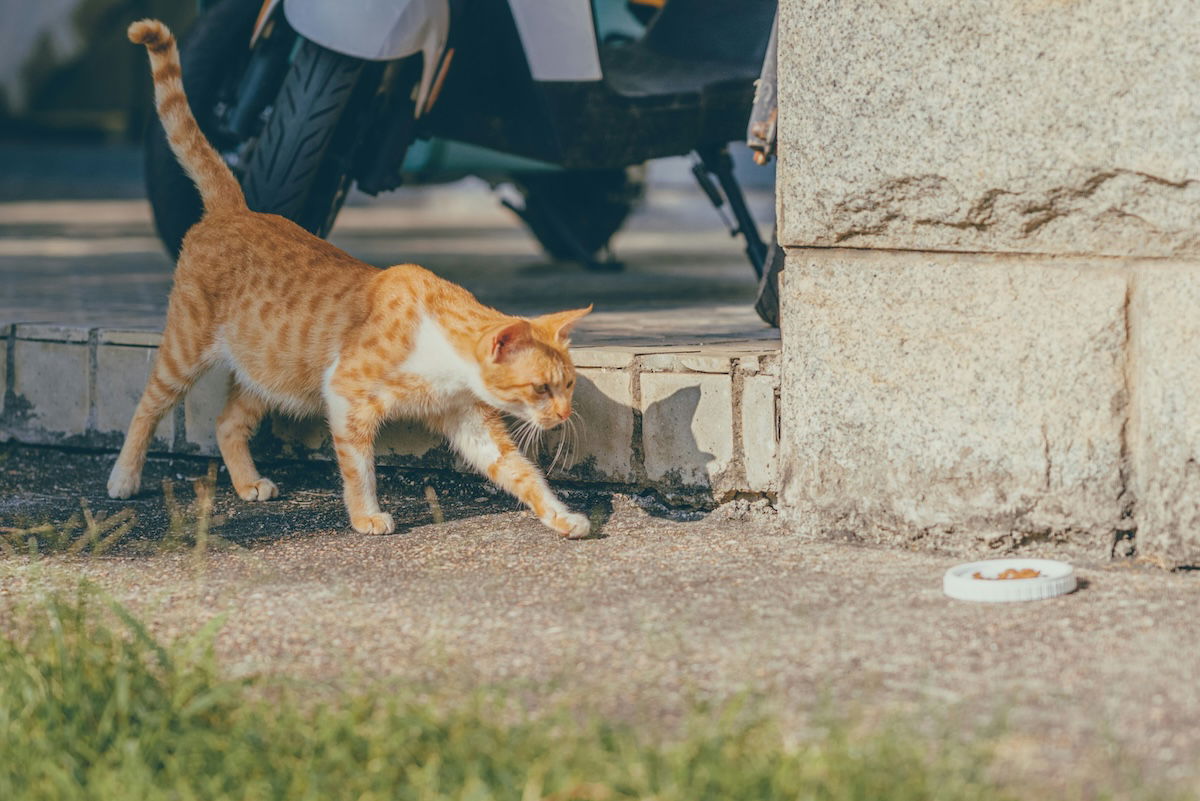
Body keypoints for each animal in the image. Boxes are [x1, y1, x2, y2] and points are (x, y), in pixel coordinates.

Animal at [114, 20, 592, 537]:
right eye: (541, 388)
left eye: (569, 385)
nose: (565, 414)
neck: (443, 352)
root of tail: (235, 208)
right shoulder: (346, 394)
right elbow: (359, 465)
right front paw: (366, 516)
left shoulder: (470, 421)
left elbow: (521, 473)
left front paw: (561, 515)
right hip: (186, 349)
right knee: (148, 405)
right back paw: (124, 477)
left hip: (274, 371)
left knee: (227, 423)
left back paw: (249, 483)